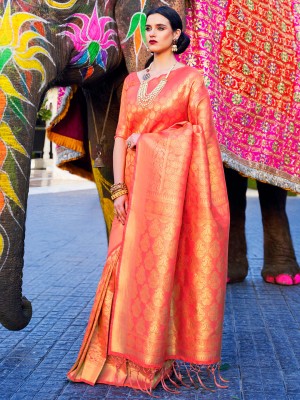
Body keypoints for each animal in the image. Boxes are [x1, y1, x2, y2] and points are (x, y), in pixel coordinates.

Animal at [0, 0, 298, 332]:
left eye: (62, 4)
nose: (27, 305)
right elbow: (107, 154)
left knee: (267, 183)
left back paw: (282, 277)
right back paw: (230, 277)